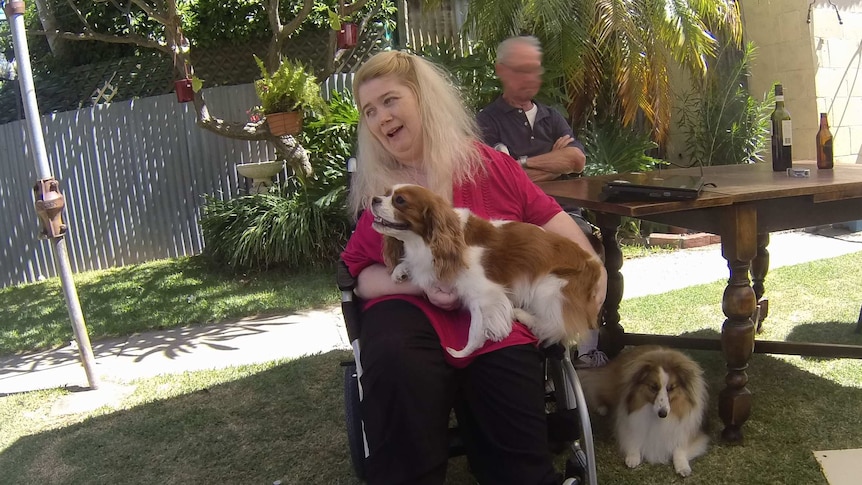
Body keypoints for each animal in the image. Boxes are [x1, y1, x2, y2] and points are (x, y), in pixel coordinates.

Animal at [368, 183, 604, 358]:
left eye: (399, 200)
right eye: (386, 193)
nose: (374, 199)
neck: (428, 242)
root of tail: (595, 266)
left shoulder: (484, 293)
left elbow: (475, 328)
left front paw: (462, 352)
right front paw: (400, 270)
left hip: (550, 287)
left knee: (555, 326)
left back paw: (522, 315)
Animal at [576, 344, 712, 476]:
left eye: (671, 388)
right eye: (653, 387)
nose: (662, 414)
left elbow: (679, 448)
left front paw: (683, 466)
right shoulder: (628, 422)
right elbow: (633, 436)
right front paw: (633, 457)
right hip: (610, 386)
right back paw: (602, 408)